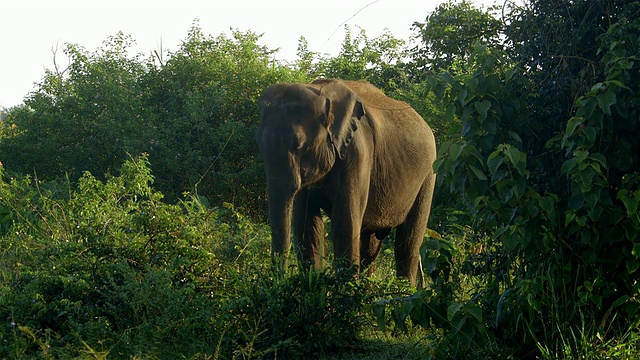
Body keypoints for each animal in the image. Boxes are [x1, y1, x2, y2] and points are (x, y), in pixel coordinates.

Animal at [258, 79, 438, 286]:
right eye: (259, 145)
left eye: (299, 145)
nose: (277, 281)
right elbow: (306, 224)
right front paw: (314, 283)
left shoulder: (357, 153)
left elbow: (344, 222)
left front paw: (343, 287)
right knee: (371, 241)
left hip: (428, 175)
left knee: (407, 243)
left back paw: (405, 290)